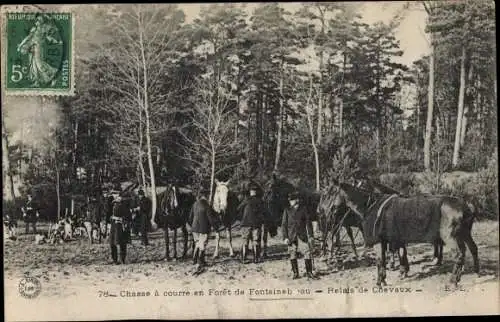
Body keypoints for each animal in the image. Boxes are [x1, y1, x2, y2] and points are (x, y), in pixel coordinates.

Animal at [326, 181, 478, 286]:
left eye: (331, 193)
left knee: (459, 254)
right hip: (465, 234)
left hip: (451, 237)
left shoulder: (379, 241)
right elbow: (397, 255)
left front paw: (380, 282)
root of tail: (465, 205)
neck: (371, 206)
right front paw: (393, 275)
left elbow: (381, 261)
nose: (328, 211)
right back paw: (476, 272)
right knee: (473, 249)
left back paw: (452, 281)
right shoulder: (393, 240)